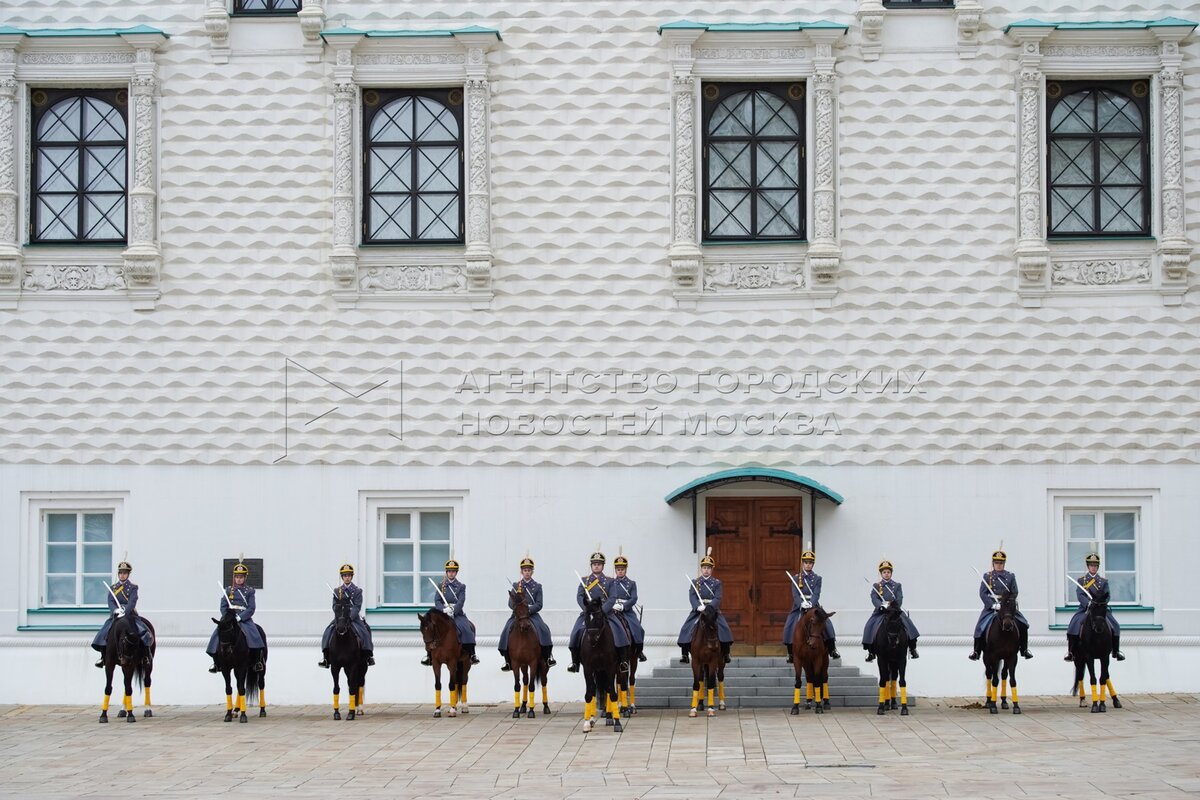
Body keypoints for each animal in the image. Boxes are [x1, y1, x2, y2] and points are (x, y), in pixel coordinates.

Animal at [504, 587, 549, 719]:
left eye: (526, 606)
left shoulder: (533, 663)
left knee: (543, 681)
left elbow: (532, 685)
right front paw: (516, 710)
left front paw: (532, 711)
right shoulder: (515, 663)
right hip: (523, 665)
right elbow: (517, 685)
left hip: (543, 664)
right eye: (515, 608)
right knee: (525, 680)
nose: (526, 625)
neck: (523, 637)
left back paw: (546, 706)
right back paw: (523, 706)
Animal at [576, 594, 624, 734]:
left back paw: (609, 716)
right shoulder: (588, 668)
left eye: (598, 617)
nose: (591, 638)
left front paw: (617, 722)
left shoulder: (610, 667)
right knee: (596, 689)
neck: (598, 645)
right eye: (586, 617)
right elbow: (589, 693)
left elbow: (612, 693)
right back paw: (594, 718)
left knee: (608, 687)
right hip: (598, 670)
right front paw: (587, 723)